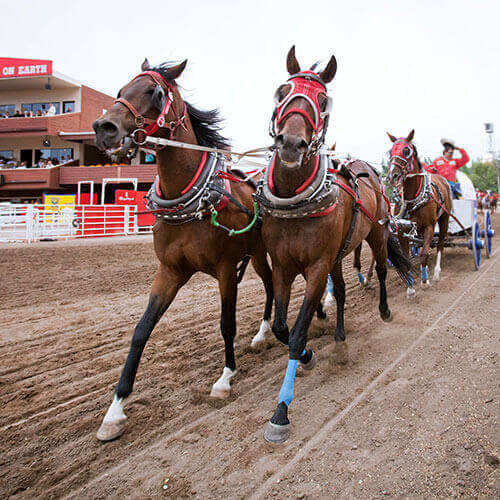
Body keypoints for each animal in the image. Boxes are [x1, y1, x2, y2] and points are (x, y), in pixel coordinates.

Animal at [93, 58, 274, 442]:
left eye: (156, 92)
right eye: (120, 90)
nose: (104, 128)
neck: (189, 201)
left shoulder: (225, 269)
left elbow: (226, 324)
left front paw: (224, 378)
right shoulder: (170, 271)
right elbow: (141, 330)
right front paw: (115, 410)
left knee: (275, 287)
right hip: (254, 256)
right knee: (269, 286)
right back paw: (262, 333)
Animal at [256, 47, 412, 444]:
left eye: (323, 101)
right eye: (283, 91)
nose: (291, 144)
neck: (295, 202)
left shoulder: (315, 268)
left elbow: (297, 333)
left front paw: (281, 411)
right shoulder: (283, 267)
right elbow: (282, 328)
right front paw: (311, 355)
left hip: (375, 235)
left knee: (383, 270)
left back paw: (384, 308)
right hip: (338, 255)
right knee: (340, 292)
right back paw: (340, 339)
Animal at [386, 130, 454, 296]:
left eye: (406, 150)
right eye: (390, 151)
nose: (392, 176)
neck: (412, 198)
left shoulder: (430, 226)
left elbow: (424, 253)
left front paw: (424, 281)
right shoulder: (402, 231)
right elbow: (406, 258)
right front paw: (410, 287)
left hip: (444, 219)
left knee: (440, 244)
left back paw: (435, 273)